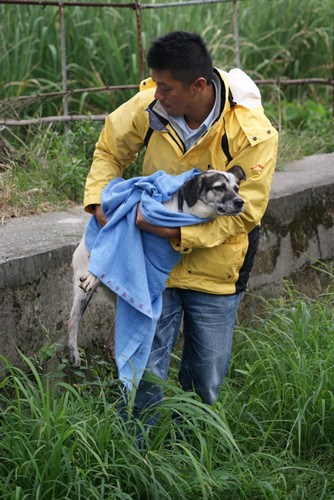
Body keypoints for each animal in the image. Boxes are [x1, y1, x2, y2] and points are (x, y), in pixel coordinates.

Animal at [68, 165, 245, 368]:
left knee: (112, 336)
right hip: (82, 293)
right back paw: (74, 353)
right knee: (73, 321)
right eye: (219, 187)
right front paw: (94, 273)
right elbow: (112, 245)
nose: (240, 202)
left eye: (237, 188)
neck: (181, 210)